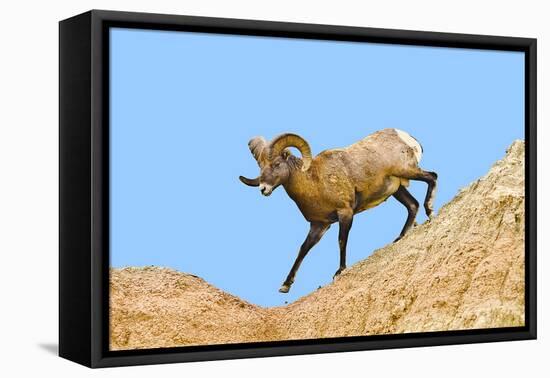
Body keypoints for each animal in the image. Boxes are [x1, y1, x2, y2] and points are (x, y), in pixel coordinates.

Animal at [239, 128, 438, 294]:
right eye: (261, 166)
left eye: (277, 163)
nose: (263, 189)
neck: (314, 181)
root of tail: (406, 138)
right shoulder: (319, 225)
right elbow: (303, 249)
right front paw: (286, 285)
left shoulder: (345, 214)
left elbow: (342, 241)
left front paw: (339, 271)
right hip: (398, 188)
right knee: (412, 205)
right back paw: (400, 237)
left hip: (408, 172)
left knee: (432, 178)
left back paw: (430, 212)